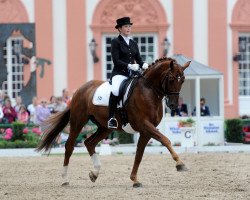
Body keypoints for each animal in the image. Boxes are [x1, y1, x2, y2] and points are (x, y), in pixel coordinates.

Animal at [36, 56, 190, 188]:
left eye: (182, 80)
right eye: (171, 79)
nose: (173, 105)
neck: (148, 91)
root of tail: (79, 90)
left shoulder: (146, 131)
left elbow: (139, 154)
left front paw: (135, 180)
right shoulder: (144, 125)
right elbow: (165, 140)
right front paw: (180, 164)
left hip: (105, 128)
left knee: (89, 143)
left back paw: (94, 173)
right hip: (78, 121)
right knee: (69, 146)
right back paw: (65, 179)